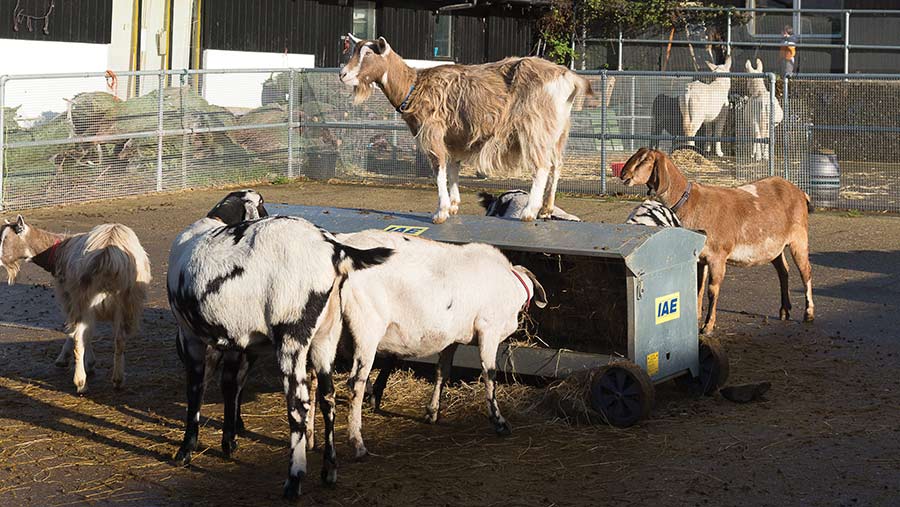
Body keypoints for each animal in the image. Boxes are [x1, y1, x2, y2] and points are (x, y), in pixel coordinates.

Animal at [167, 190, 392, 500]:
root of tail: (333, 250)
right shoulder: (236, 342)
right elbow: (230, 387)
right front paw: (229, 441)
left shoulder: (191, 337)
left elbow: (195, 391)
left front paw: (186, 450)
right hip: (326, 336)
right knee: (328, 398)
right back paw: (329, 471)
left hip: (292, 335)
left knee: (299, 405)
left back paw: (294, 481)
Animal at [338, 34, 592, 224]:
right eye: (353, 51)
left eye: (368, 54)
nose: (342, 74)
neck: (414, 86)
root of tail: (568, 77)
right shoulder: (454, 138)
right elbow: (452, 169)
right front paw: (453, 205)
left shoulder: (433, 132)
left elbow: (439, 168)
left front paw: (440, 212)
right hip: (559, 131)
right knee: (557, 165)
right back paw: (547, 209)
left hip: (535, 126)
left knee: (541, 166)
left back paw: (530, 212)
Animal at [620, 148, 816, 334]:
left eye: (646, 159)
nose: (624, 174)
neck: (690, 202)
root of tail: (800, 193)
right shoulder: (699, 258)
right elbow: (698, 286)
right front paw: (696, 317)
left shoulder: (717, 256)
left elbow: (712, 290)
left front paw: (708, 326)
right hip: (774, 247)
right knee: (783, 271)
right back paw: (784, 310)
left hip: (799, 238)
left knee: (805, 271)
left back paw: (808, 314)